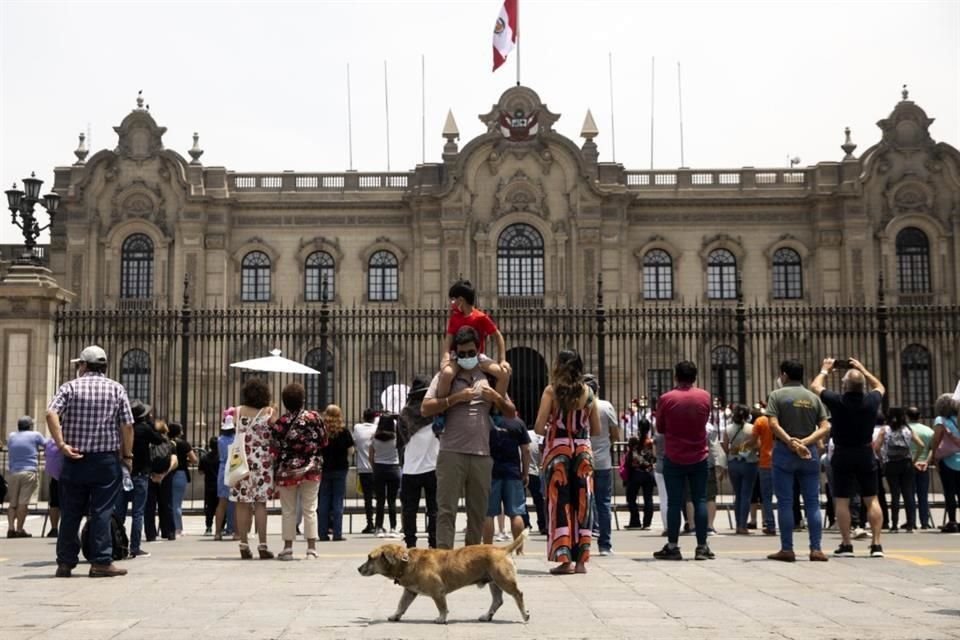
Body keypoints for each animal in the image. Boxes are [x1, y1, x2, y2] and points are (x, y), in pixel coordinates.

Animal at [356, 528, 528, 624]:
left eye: (370, 558)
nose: (358, 569)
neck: (406, 561)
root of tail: (502, 550)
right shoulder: (410, 592)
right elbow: (402, 605)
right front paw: (395, 616)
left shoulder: (437, 592)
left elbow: (442, 607)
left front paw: (441, 619)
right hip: (494, 582)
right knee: (497, 601)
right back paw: (487, 616)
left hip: (504, 580)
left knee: (518, 595)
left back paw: (525, 615)